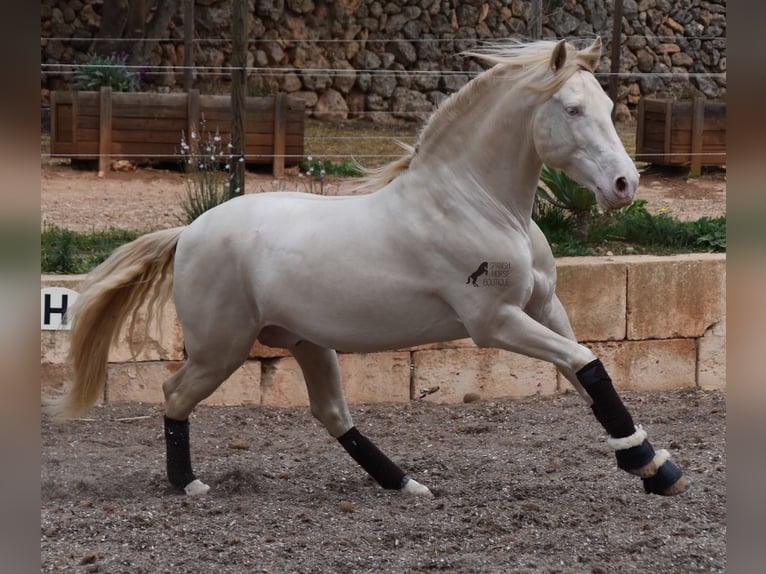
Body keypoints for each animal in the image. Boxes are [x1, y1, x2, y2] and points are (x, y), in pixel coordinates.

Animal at [54, 39, 688, 500]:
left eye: (609, 108)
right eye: (572, 109)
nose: (625, 185)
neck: (477, 203)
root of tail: (189, 232)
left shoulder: (544, 307)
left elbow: (588, 371)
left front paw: (653, 465)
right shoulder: (495, 322)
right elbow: (584, 365)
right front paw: (648, 464)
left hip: (307, 342)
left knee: (331, 414)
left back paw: (405, 483)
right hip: (221, 348)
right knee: (175, 393)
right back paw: (188, 484)